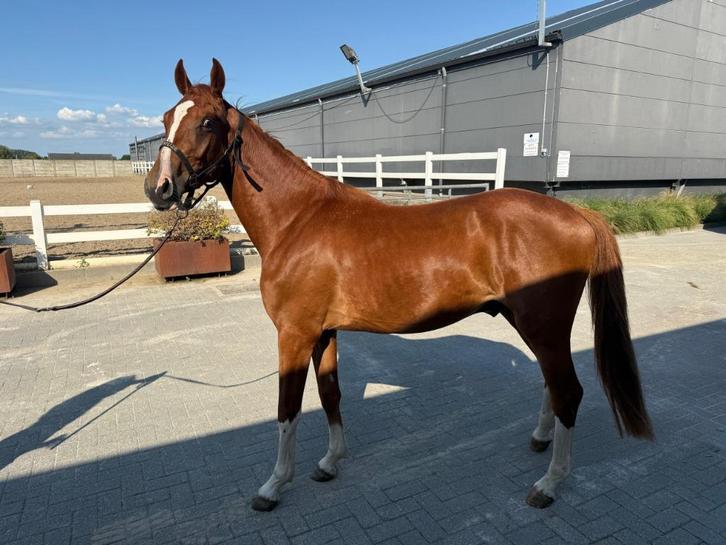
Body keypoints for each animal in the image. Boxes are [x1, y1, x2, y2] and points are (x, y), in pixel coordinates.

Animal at [143, 58, 653, 512]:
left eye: (208, 121)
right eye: (167, 118)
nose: (159, 188)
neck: (299, 219)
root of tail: (578, 214)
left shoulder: (294, 335)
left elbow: (288, 409)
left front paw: (273, 486)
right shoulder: (323, 333)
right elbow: (330, 395)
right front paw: (330, 462)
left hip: (542, 325)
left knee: (568, 391)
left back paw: (548, 484)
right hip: (532, 325)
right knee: (553, 384)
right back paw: (540, 441)